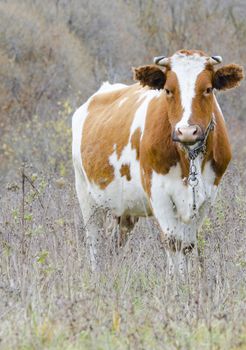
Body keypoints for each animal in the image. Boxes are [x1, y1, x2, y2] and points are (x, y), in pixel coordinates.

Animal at [72, 49, 243, 274]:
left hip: (123, 208)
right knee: (95, 240)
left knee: (116, 242)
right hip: (86, 194)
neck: (189, 158)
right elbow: (173, 241)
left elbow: (187, 244)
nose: (187, 131)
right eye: (168, 90)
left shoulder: (206, 197)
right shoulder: (159, 194)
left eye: (208, 89)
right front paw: (175, 281)